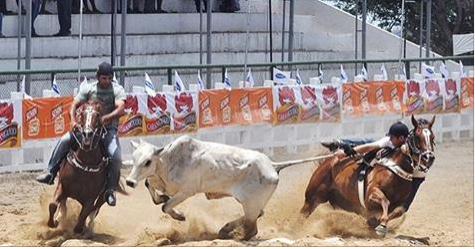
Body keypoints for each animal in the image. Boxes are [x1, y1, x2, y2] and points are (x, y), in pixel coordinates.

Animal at [47, 100, 117, 234]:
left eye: (98, 115)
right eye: (82, 113)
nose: (87, 134)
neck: (86, 164)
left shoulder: (90, 199)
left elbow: (83, 217)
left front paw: (81, 228)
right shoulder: (62, 186)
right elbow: (53, 204)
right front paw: (53, 223)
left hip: (103, 195)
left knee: (95, 210)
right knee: (63, 207)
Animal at [124, 135, 330, 240]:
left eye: (147, 161)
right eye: (134, 158)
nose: (129, 182)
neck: (168, 161)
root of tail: (272, 165)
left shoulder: (186, 192)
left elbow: (165, 206)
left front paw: (180, 216)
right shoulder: (163, 184)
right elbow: (151, 187)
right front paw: (160, 197)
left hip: (250, 204)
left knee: (252, 228)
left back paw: (233, 235)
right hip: (249, 203)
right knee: (258, 215)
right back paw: (225, 229)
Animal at [304, 115, 436, 235]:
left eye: (432, 137)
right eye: (417, 137)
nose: (429, 158)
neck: (395, 170)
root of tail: (328, 161)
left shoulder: (400, 202)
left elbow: (397, 211)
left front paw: (377, 222)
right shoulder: (371, 194)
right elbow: (385, 201)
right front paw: (381, 226)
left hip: (340, 201)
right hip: (314, 196)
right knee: (304, 212)